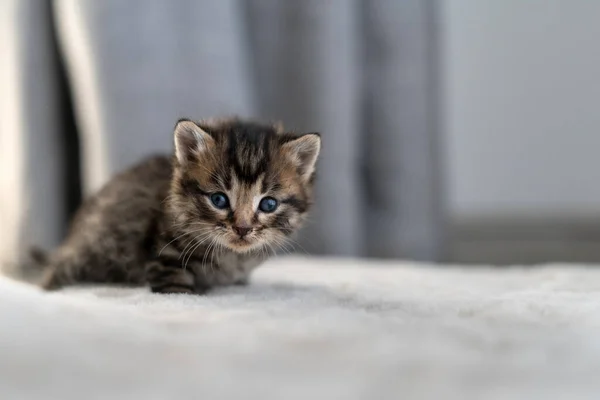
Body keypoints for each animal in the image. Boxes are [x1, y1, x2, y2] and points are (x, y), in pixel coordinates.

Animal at [31, 119, 322, 294]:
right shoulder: (165, 252)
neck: (231, 256)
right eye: (219, 199)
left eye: (268, 203)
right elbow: (175, 287)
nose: (242, 228)